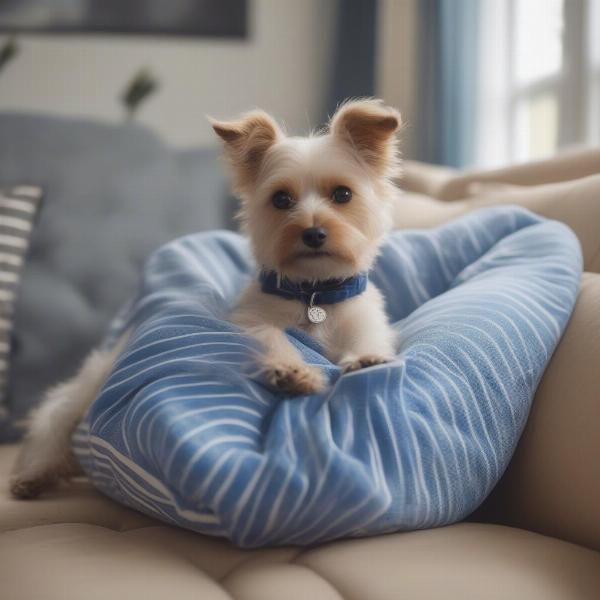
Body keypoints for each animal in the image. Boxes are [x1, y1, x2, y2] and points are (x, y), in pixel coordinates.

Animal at [9, 98, 400, 500]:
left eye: (343, 194)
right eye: (280, 199)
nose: (313, 233)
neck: (313, 292)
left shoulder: (365, 322)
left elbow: (367, 341)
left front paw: (366, 359)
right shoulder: (251, 319)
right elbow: (271, 334)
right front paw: (292, 370)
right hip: (83, 389)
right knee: (53, 421)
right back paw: (35, 474)